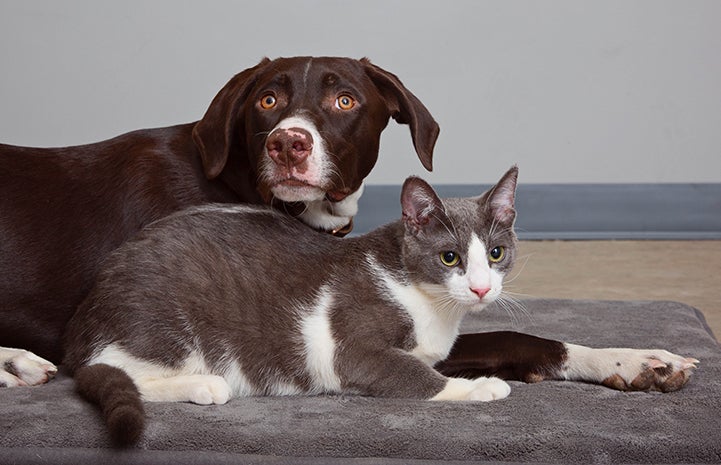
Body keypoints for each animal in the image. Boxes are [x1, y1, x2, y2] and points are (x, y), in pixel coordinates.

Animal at [63, 165, 516, 444]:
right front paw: (480, 386)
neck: (430, 303)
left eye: (496, 253)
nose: (481, 289)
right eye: (449, 257)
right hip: (160, 319)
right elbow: (417, 376)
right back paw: (204, 384)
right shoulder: (351, 348)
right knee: (109, 368)